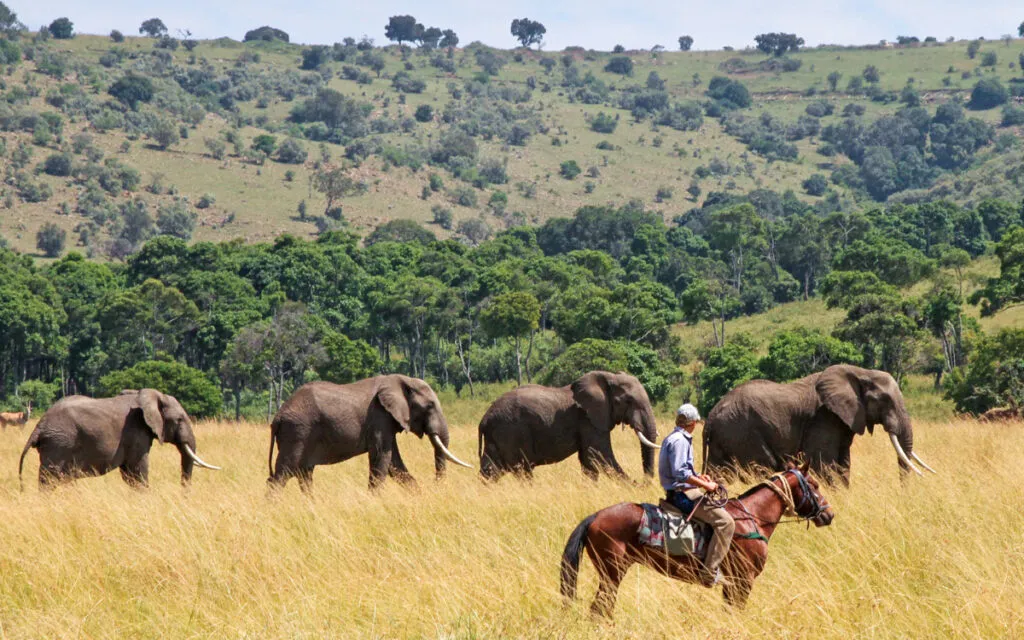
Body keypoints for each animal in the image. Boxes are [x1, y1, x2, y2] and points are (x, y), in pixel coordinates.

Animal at [559, 463, 835, 617]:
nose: (829, 514)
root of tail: (595, 516)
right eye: (814, 484)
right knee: (599, 609)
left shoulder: (732, 584)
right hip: (612, 573)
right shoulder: (743, 580)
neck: (752, 517)